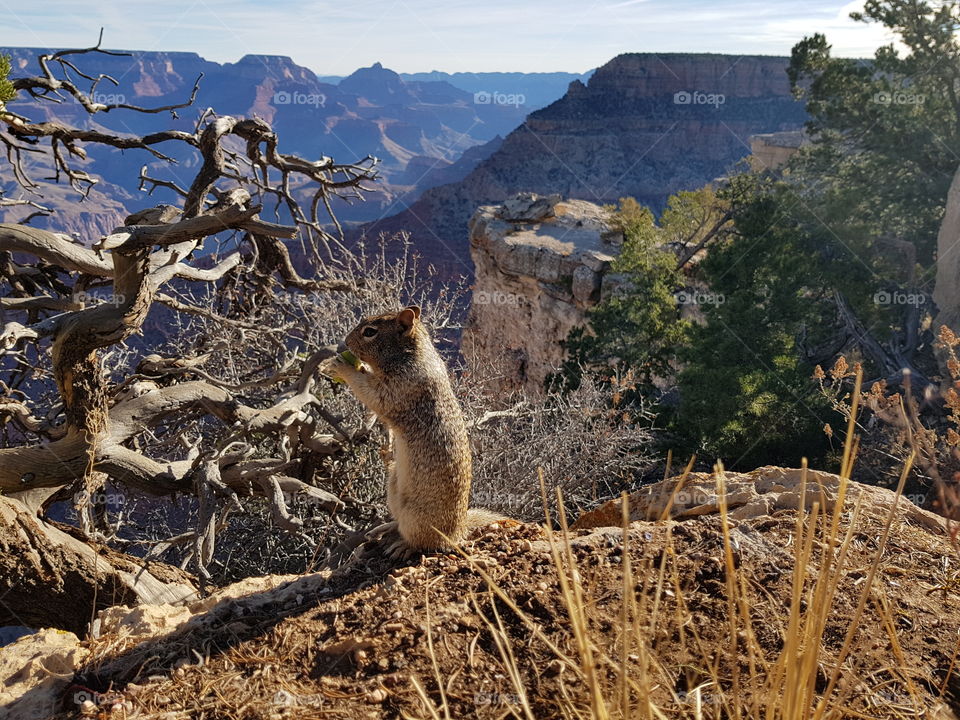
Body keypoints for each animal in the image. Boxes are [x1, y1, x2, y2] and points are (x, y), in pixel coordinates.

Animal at [320, 304, 502, 556]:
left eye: (370, 332)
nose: (346, 342)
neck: (413, 355)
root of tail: (458, 532)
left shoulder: (398, 388)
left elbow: (371, 393)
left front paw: (340, 365)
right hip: (393, 487)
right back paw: (385, 528)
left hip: (416, 518)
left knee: (423, 542)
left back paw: (403, 546)